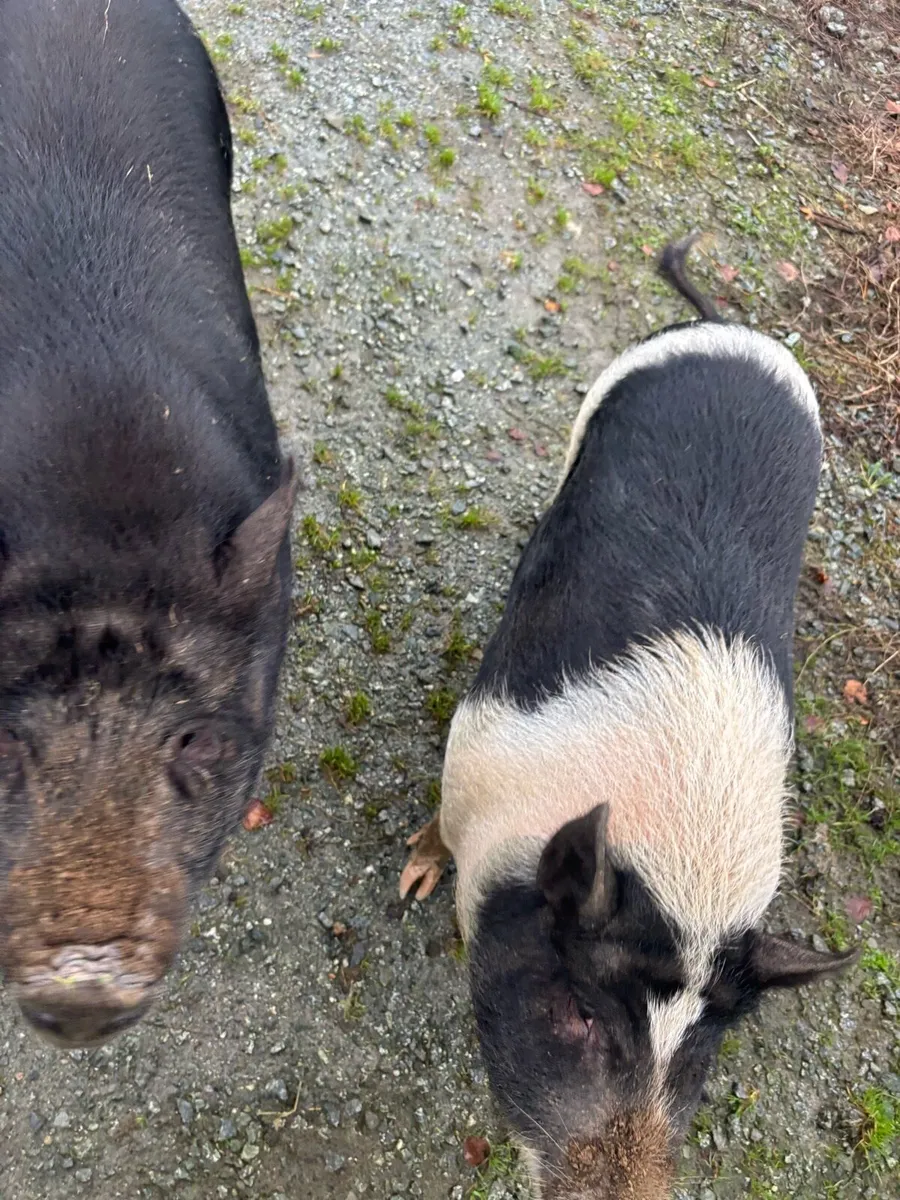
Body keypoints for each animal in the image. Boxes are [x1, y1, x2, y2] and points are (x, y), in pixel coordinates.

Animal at [400, 234, 857, 1197]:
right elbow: (439, 832)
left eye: (701, 1057)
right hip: (597, 399)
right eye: (577, 1013)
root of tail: (731, 327)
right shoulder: (477, 738)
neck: (680, 863)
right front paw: (413, 881)